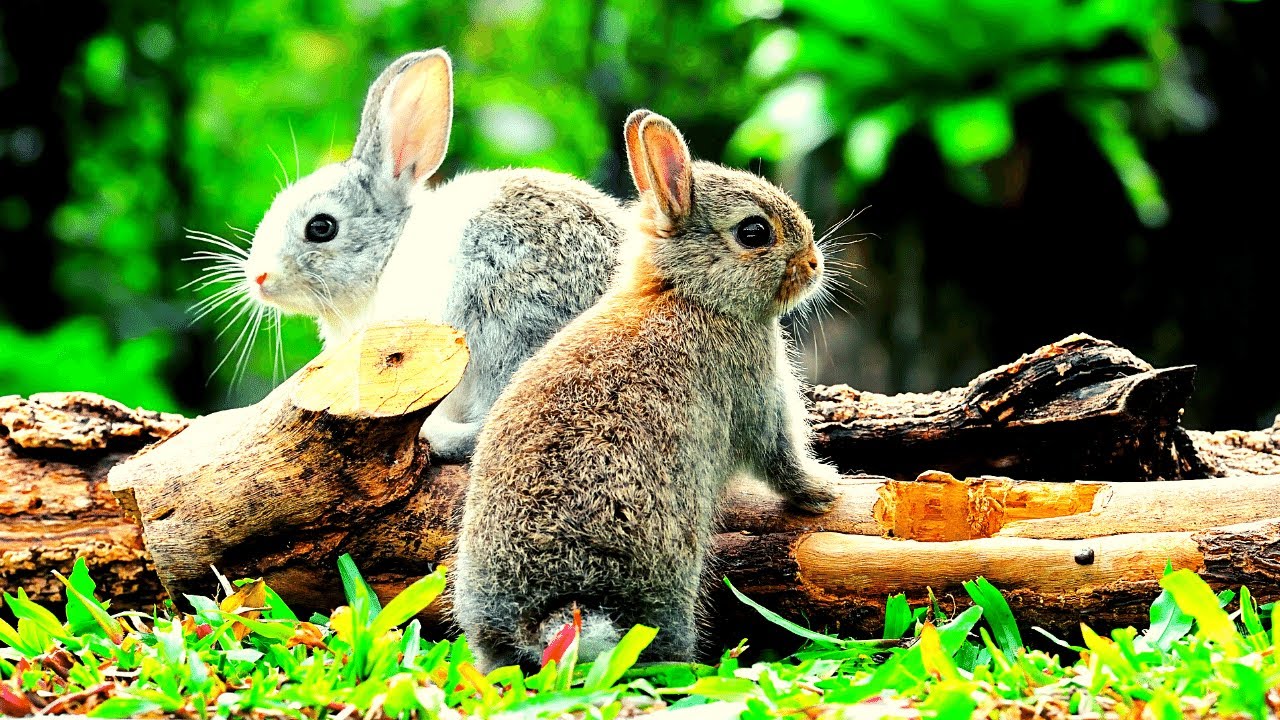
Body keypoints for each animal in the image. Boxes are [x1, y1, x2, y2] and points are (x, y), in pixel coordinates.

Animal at [454, 109, 840, 672]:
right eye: (754, 232)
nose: (813, 264)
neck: (689, 294)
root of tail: (547, 613)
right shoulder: (756, 393)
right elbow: (780, 460)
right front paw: (825, 489)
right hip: (666, 582)